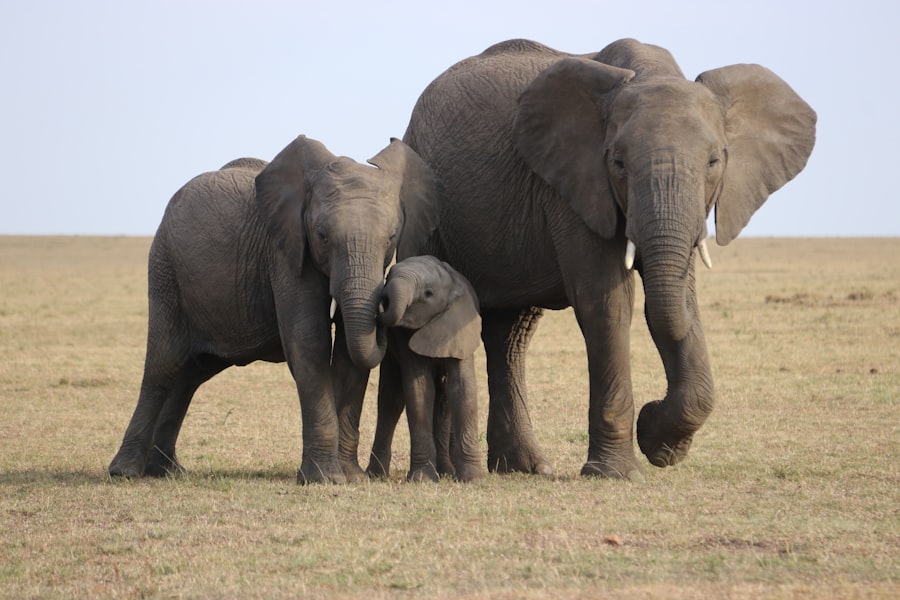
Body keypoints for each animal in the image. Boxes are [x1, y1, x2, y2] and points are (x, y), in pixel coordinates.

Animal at [107, 135, 441, 484]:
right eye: (322, 236)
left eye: (391, 237)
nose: (386, 305)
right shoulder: (284, 252)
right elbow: (309, 342)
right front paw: (325, 478)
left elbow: (349, 354)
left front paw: (351, 477)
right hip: (165, 269)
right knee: (164, 365)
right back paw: (126, 472)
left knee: (189, 374)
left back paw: (167, 471)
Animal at [365, 256, 485, 482]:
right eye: (389, 275)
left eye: (428, 293)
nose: (382, 299)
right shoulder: (403, 336)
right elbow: (420, 390)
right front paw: (422, 479)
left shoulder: (460, 328)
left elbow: (462, 389)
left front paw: (472, 479)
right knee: (390, 400)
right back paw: (376, 476)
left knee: (443, 402)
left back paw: (446, 472)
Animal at [401, 38, 816, 479]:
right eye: (617, 162)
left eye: (714, 161)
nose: (652, 413)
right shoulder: (573, 185)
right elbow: (607, 301)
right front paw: (619, 470)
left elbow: (679, 300)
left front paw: (662, 446)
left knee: (510, 335)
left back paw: (526, 468)